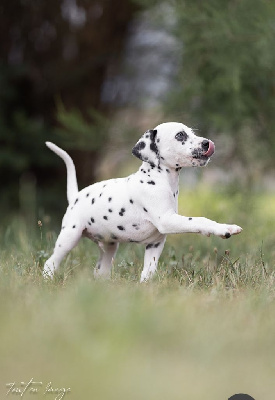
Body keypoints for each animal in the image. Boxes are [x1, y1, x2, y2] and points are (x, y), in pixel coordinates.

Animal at [43, 122, 244, 282]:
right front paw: (224, 229)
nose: (206, 143)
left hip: (109, 246)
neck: (161, 179)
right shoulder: (167, 220)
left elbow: (148, 271)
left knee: (100, 271)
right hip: (69, 236)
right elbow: (199, 221)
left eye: (192, 132)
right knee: (50, 263)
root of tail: (75, 196)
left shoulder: (156, 242)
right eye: (180, 135)